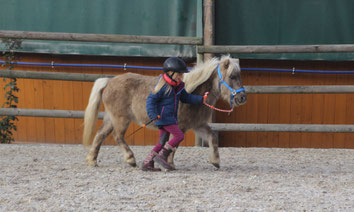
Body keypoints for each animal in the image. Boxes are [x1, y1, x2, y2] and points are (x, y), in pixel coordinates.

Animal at [82, 55, 246, 170]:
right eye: (232, 76)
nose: (242, 97)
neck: (192, 92)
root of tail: (109, 81)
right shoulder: (181, 126)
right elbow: (174, 145)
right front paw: (169, 164)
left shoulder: (197, 125)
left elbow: (212, 137)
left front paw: (215, 161)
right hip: (121, 119)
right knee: (117, 136)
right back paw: (130, 159)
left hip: (111, 118)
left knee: (100, 135)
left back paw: (92, 160)